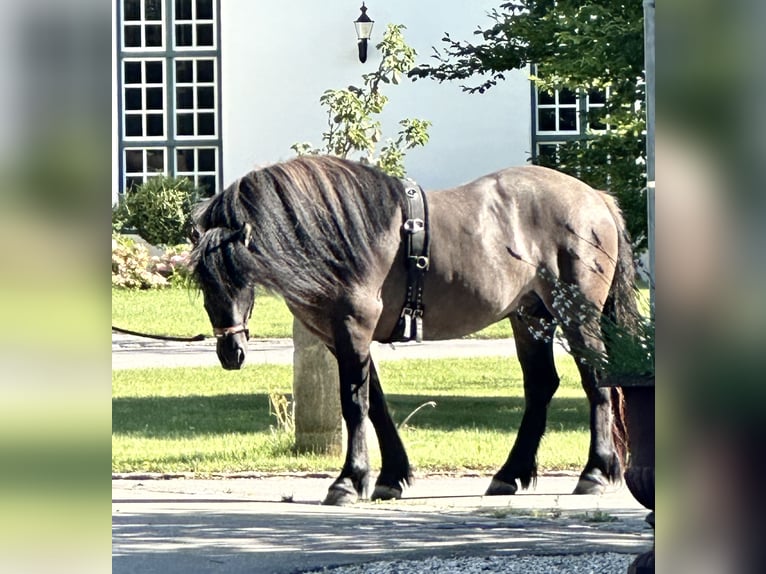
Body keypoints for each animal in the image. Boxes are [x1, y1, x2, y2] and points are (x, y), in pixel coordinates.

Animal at [189, 155, 640, 506]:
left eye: (239, 272)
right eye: (201, 279)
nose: (231, 352)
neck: (339, 234)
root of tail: (595, 199)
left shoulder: (353, 328)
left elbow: (354, 404)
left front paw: (349, 481)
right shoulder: (341, 339)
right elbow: (375, 403)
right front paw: (391, 477)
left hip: (577, 313)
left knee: (596, 381)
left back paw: (595, 473)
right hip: (530, 316)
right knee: (541, 385)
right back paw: (509, 474)